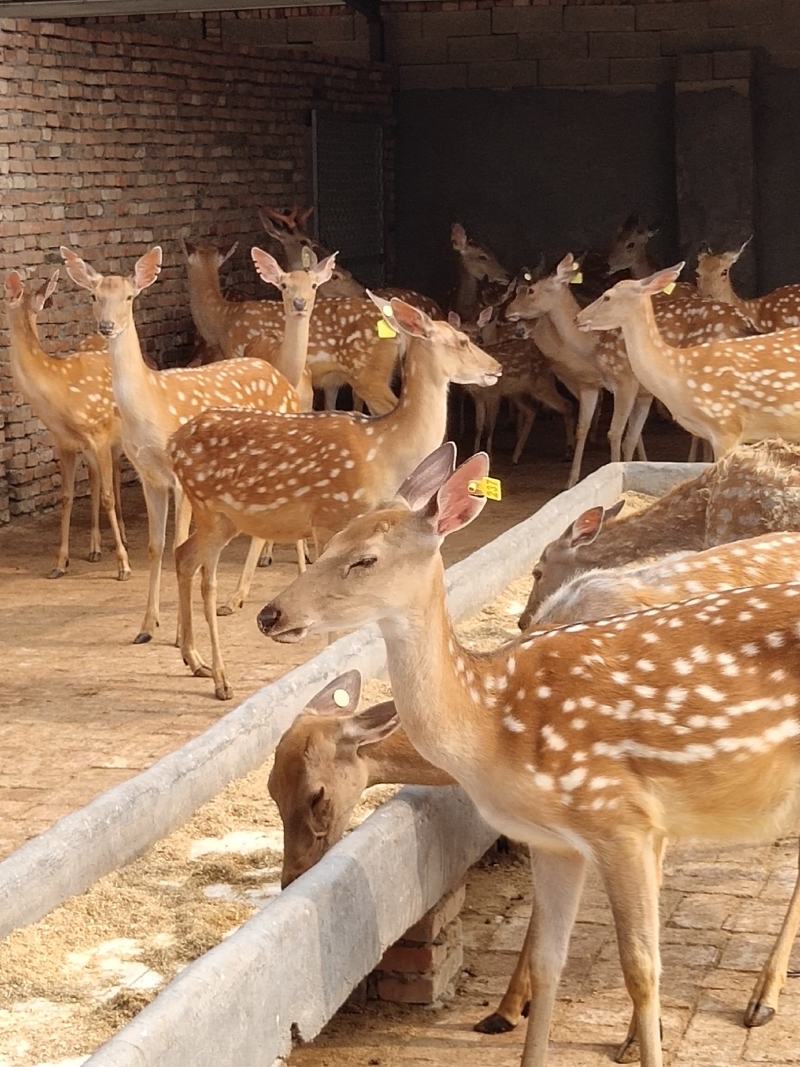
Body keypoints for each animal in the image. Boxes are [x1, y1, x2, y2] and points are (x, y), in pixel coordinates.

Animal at [4, 270, 130, 581]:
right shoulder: (65, 444)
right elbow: (67, 497)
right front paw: (60, 563)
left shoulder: (100, 434)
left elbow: (108, 496)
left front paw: (123, 565)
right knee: (98, 480)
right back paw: (96, 547)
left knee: (118, 478)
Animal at [60, 244, 305, 645]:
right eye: (94, 296)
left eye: (129, 297)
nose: (106, 326)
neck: (150, 406)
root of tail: (284, 381)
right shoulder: (149, 477)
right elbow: (155, 546)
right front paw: (146, 627)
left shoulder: (182, 479)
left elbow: (178, 545)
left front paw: (178, 635)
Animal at [168, 297, 501, 701]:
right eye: (463, 340)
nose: (496, 368)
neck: (386, 448)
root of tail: (173, 443)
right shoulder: (331, 515)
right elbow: (333, 630)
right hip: (209, 508)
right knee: (203, 574)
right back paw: (220, 677)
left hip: (226, 519)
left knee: (183, 557)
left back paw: (194, 659)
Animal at [259, 441, 800, 1067]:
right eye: (328, 542)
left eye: (364, 559)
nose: (270, 614)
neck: (496, 725)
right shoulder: (555, 840)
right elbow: (548, 962)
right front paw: (507, 1011)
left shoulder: (624, 820)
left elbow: (642, 970)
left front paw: (631, 1039)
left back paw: (763, 998)